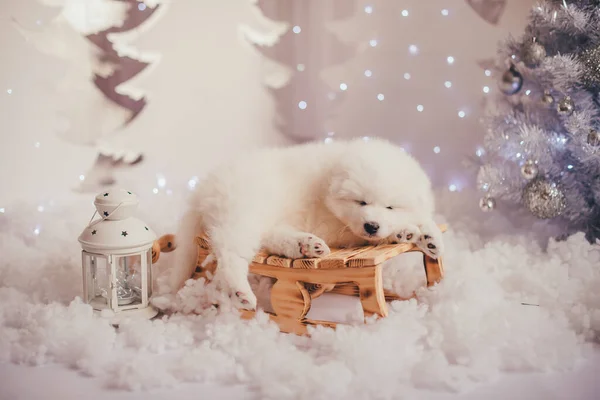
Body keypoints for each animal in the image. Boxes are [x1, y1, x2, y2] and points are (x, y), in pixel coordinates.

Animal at [166, 138, 442, 310]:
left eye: (390, 206)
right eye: (361, 202)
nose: (371, 225)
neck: (327, 184)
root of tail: (203, 188)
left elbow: (420, 220)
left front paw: (425, 236)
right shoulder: (339, 227)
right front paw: (407, 232)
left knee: (270, 238)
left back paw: (306, 245)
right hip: (242, 211)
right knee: (230, 251)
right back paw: (241, 291)